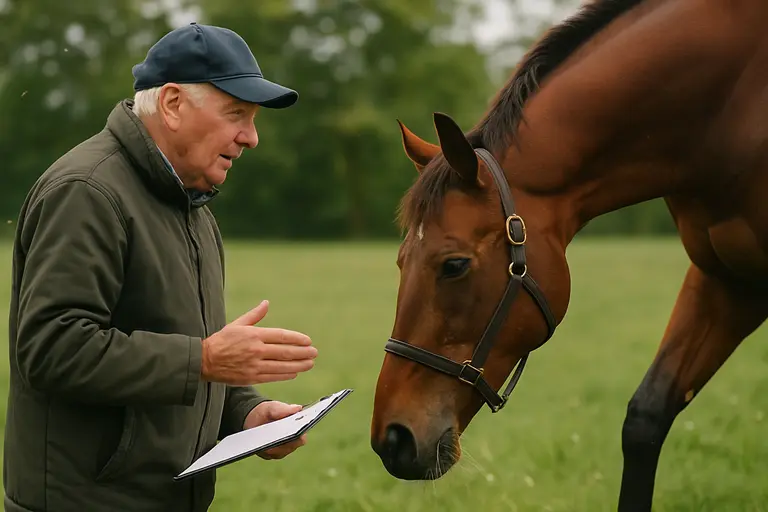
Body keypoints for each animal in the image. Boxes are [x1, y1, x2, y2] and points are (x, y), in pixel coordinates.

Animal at [369, 0, 768, 509]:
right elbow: (646, 417)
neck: (733, 110)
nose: (392, 439)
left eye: (454, 265)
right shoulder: (726, 279)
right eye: (401, 261)